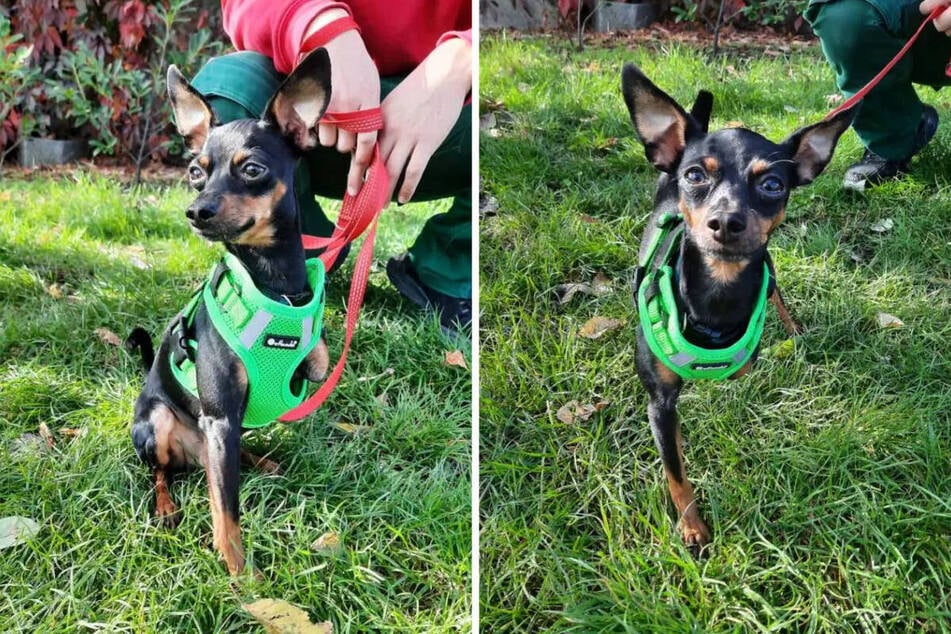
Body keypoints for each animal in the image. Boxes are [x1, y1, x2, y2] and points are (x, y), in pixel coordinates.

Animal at [124, 48, 336, 572]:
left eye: (253, 169)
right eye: (195, 172)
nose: (196, 210)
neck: (274, 285)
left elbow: (319, 357)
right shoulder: (219, 416)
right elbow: (227, 510)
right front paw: (240, 573)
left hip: (217, 436)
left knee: (227, 459)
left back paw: (262, 460)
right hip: (160, 424)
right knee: (163, 474)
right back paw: (166, 507)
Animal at [624, 61, 856, 552]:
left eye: (772, 184)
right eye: (695, 175)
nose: (727, 220)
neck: (718, 293)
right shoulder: (660, 404)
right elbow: (676, 474)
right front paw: (692, 527)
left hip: (771, 273)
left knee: (778, 297)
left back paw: (789, 335)